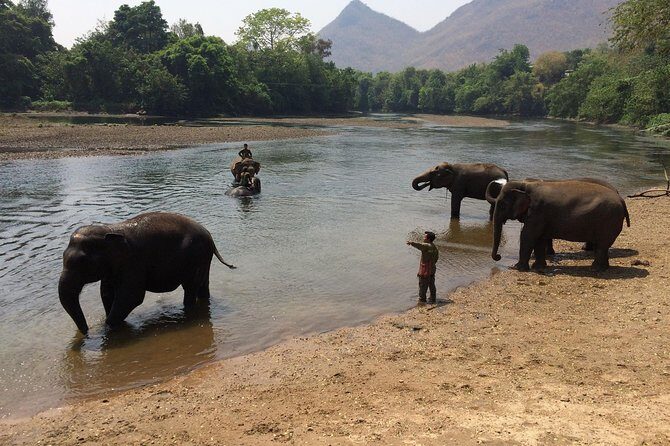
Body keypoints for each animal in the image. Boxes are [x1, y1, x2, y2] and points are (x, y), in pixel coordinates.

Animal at [58, 212, 236, 334]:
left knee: (190, 288)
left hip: (195, 257)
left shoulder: (133, 263)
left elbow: (131, 296)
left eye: (82, 262)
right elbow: (107, 293)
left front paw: (107, 328)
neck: (110, 229)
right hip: (202, 259)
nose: (86, 332)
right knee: (202, 285)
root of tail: (210, 236)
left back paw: (188, 312)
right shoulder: (113, 268)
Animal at [490, 180, 630, 271]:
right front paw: (538, 268)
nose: (499, 257)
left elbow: (528, 236)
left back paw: (594, 269)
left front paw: (516, 268)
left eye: (502, 205)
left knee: (602, 245)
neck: (525, 185)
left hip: (608, 221)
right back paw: (603, 268)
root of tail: (622, 200)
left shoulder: (537, 211)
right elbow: (540, 239)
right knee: (603, 246)